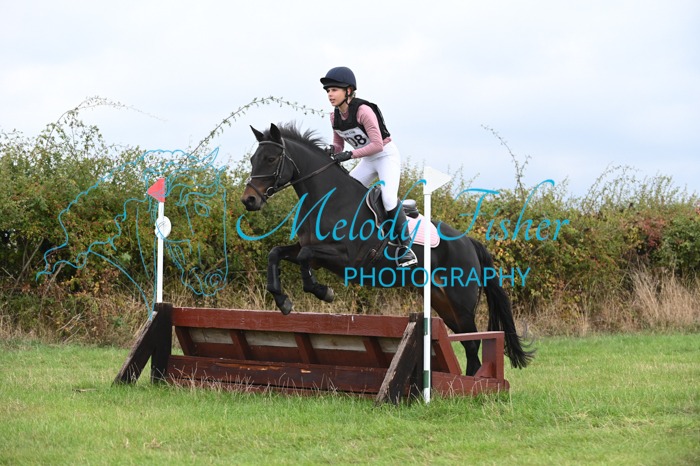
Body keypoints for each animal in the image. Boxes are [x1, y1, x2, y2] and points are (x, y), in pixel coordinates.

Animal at [239, 123, 533, 376]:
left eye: (271, 159)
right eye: (254, 159)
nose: (249, 200)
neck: (327, 199)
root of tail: (468, 242)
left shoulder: (346, 258)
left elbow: (303, 257)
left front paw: (323, 292)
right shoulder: (315, 253)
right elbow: (277, 253)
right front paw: (282, 300)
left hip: (460, 301)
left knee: (472, 342)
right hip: (442, 302)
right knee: (468, 343)